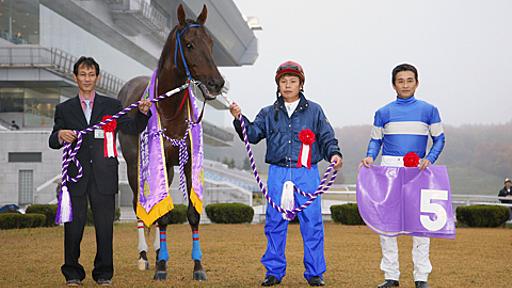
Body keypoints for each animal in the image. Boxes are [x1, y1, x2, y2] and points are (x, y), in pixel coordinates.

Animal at [119, 3, 225, 280]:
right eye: (189, 44)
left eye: (211, 43)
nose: (216, 83)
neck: (169, 109)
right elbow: (162, 214)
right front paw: (161, 268)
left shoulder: (185, 163)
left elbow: (192, 214)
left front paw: (197, 267)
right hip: (134, 165)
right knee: (138, 205)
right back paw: (145, 256)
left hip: (164, 168)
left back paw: (158, 251)